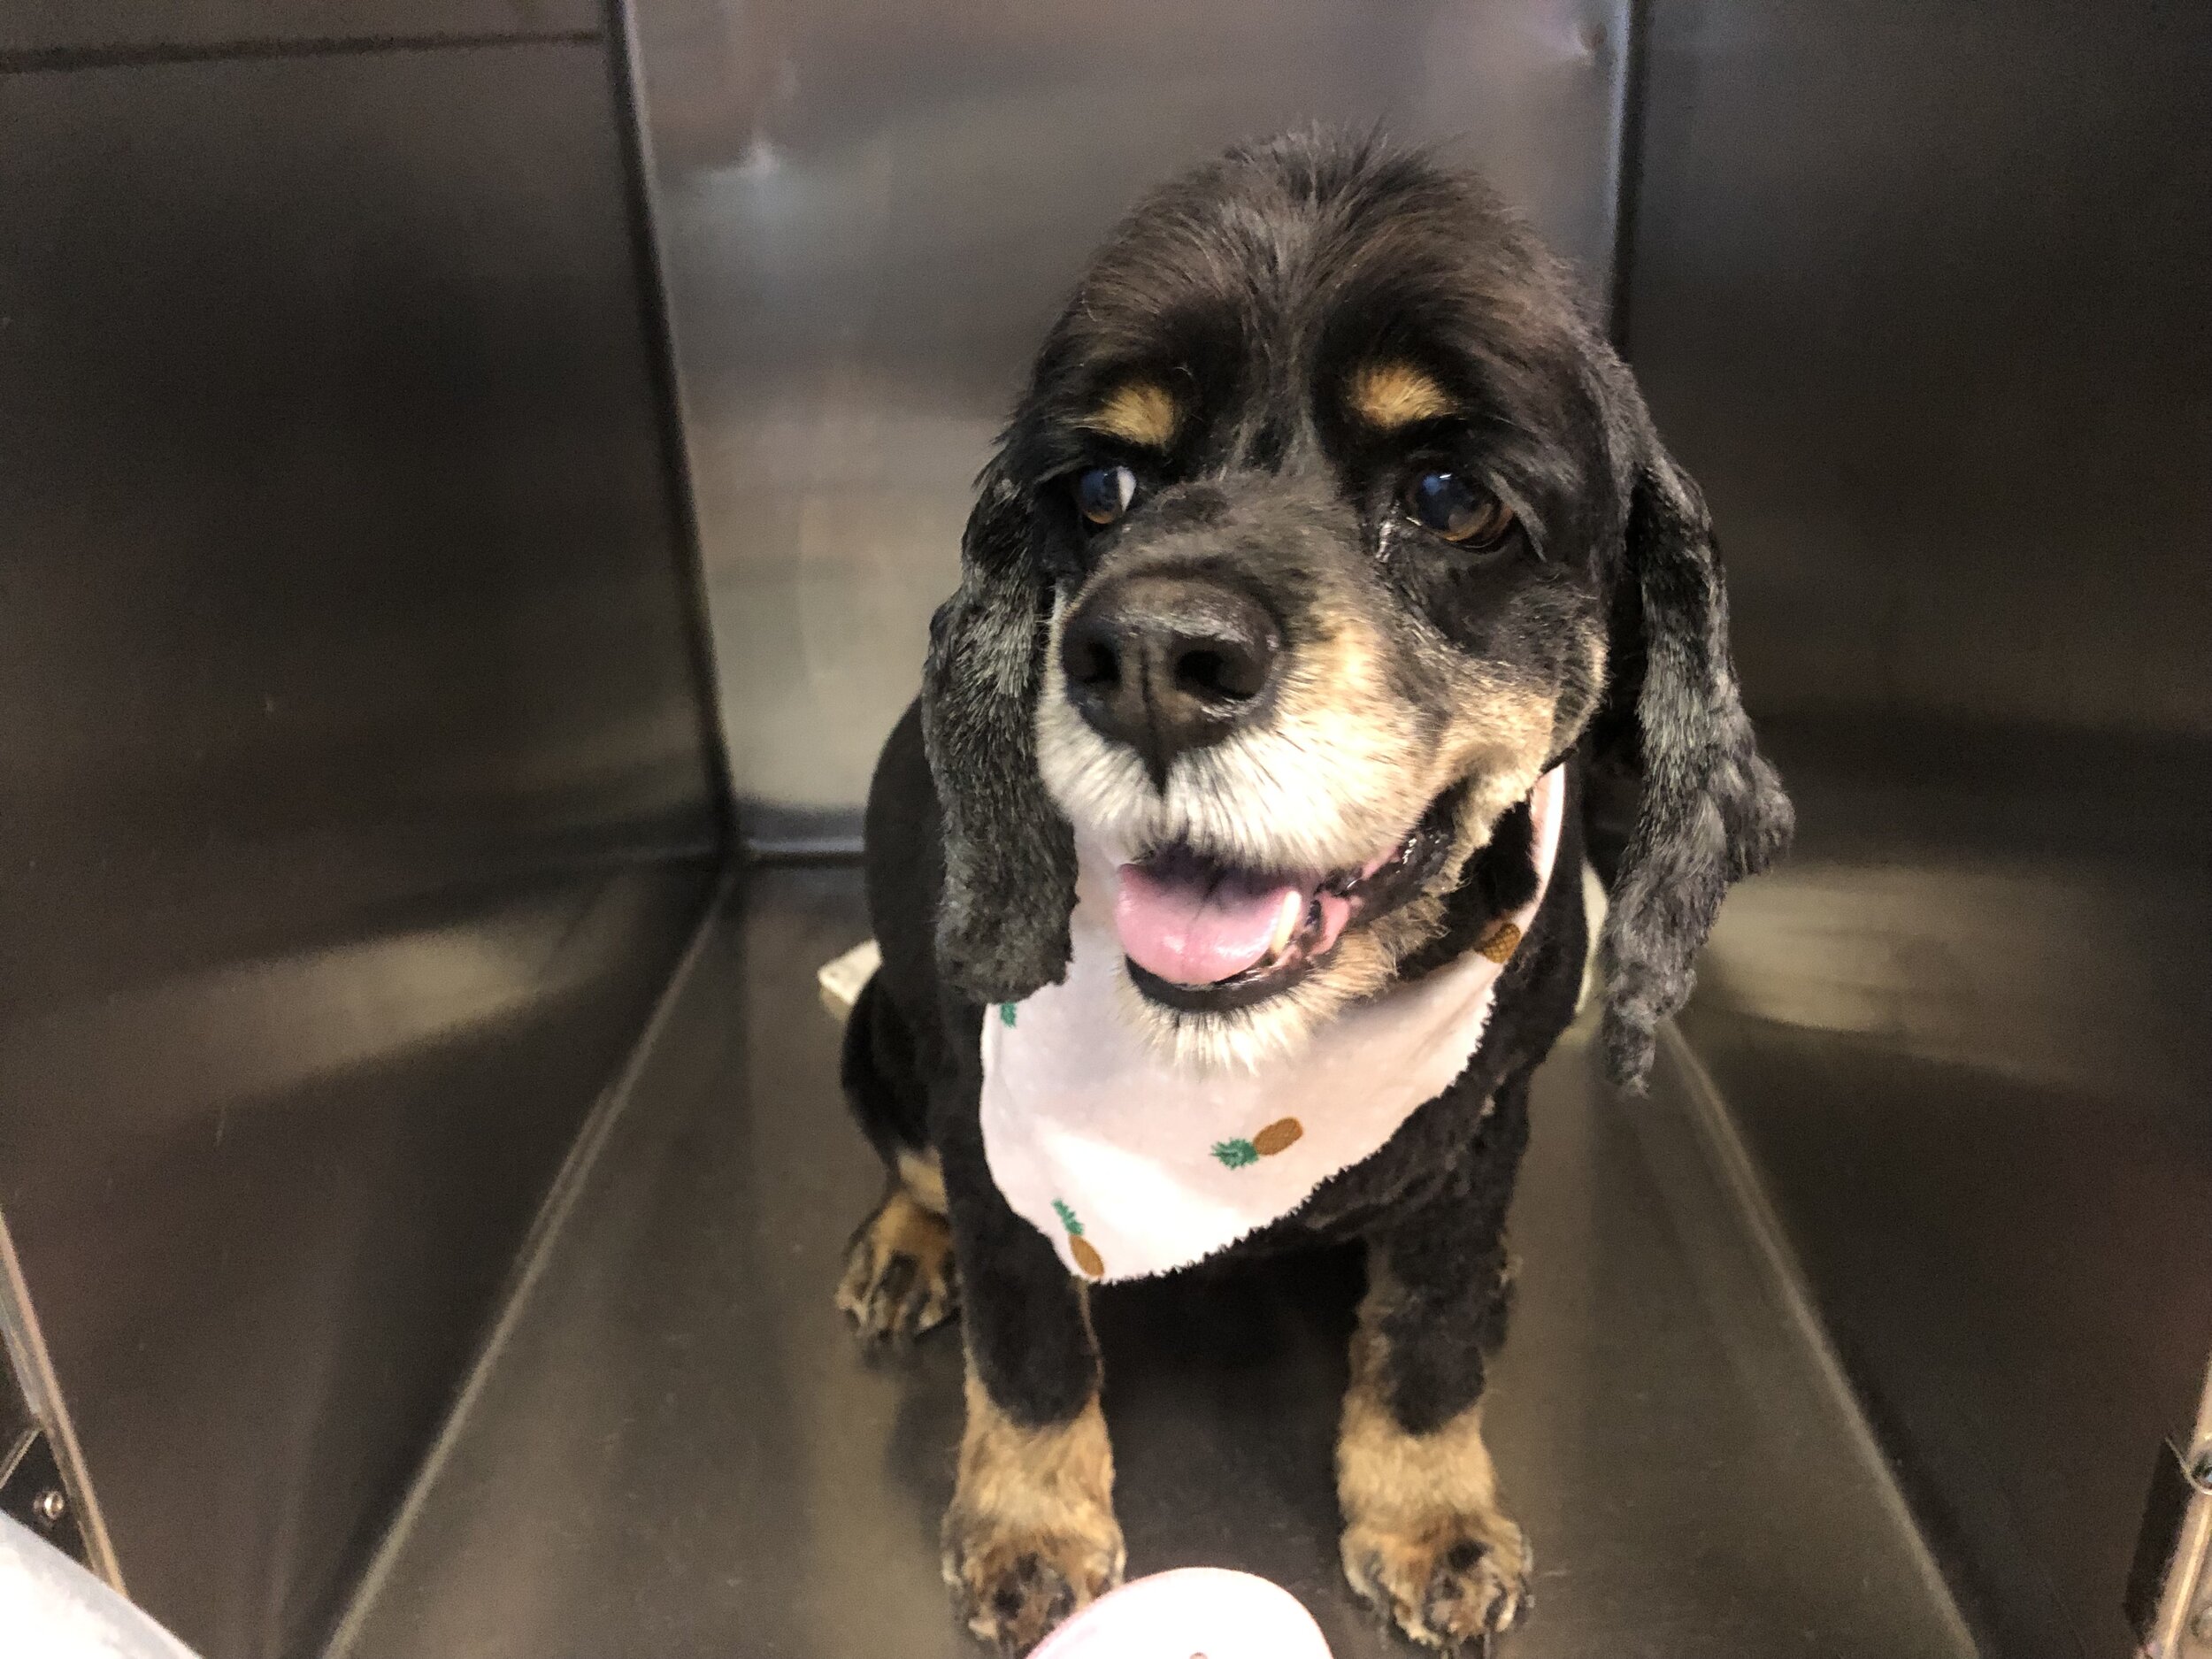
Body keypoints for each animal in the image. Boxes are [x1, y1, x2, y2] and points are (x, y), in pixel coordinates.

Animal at [834, 130, 1791, 1655]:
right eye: (1100, 490)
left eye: (1452, 499)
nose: (1149, 662)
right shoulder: (990, 1136)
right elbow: (1028, 1337)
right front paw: (1030, 1522)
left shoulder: (1488, 1109)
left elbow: (1430, 1339)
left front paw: (1431, 1518)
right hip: (877, 1029)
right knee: (911, 1163)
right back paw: (902, 1246)